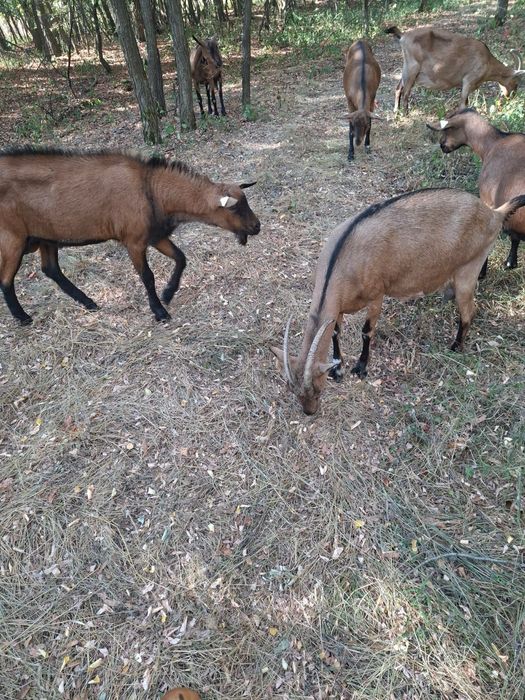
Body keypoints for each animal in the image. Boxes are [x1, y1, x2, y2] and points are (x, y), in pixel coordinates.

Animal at [0, 147, 260, 325]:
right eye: (236, 209)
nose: (257, 226)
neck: (151, 190)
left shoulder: (155, 235)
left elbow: (181, 258)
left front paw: (168, 293)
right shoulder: (133, 241)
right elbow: (147, 276)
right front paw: (160, 311)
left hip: (44, 235)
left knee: (51, 269)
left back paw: (89, 302)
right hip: (13, 238)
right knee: (6, 280)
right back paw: (23, 317)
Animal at [271, 188, 525, 415]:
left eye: (317, 389)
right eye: (292, 390)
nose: (309, 412)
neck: (343, 262)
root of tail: (493, 214)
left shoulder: (377, 295)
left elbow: (366, 332)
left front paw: (360, 368)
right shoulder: (339, 307)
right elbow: (334, 332)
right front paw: (337, 367)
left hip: (467, 271)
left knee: (469, 312)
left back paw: (455, 347)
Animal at [385, 25, 525, 113]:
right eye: (516, 83)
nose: (510, 97)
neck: (487, 61)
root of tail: (403, 36)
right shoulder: (468, 80)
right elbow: (463, 104)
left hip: (407, 69)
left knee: (398, 88)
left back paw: (396, 111)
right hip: (412, 69)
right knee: (406, 92)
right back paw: (406, 113)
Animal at [427, 108, 525, 272]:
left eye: (447, 129)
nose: (442, 145)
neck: (493, 143)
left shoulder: (488, 200)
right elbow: (515, 237)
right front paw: (511, 263)